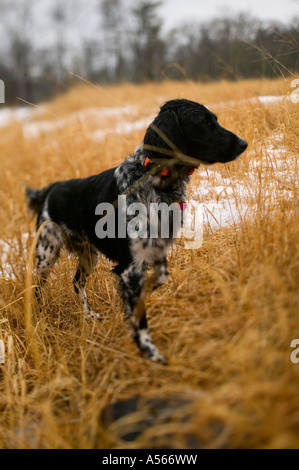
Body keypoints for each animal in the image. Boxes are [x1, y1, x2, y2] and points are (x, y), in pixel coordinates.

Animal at [25, 99, 247, 364]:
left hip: (89, 255)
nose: (243, 143)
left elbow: (159, 278)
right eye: (204, 122)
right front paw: (151, 353)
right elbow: (140, 319)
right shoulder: (129, 266)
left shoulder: (153, 249)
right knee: (37, 289)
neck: (156, 180)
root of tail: (50, 189)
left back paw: (88, 316)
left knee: (77, 283)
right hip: (46, 254)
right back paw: (39, 319)